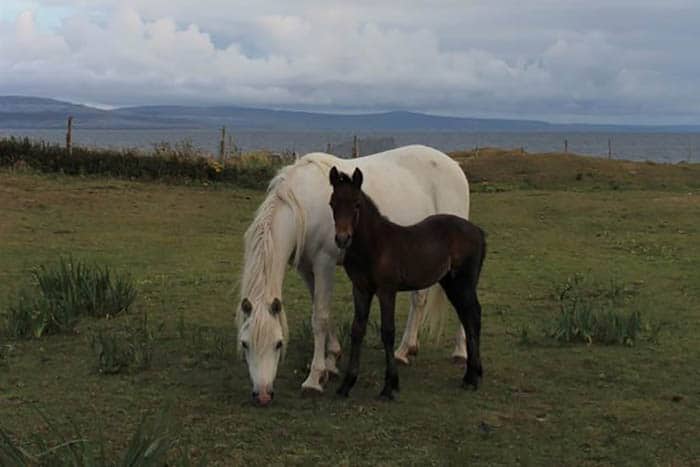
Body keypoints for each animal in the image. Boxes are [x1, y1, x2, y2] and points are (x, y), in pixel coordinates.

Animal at [235, 145, 470, 406]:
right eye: (245, 344)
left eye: (278, 344)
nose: (263, 395)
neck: (302, 205)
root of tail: (454, 165)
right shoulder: (307, 269)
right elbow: (323, 313)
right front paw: (332, 360)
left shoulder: (324, 263)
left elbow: (320, 318)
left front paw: (314, 379)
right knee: (419, 300)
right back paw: (404, 351)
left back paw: (461, 352)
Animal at [330, 166, 486, 400]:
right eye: (332, 203)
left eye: (356, 204)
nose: (342, 238)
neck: (374, 245)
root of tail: (477, 231)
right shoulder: (360, 289)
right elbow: (357, 330)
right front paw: (347, 384)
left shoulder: (387, 290)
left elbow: (387, 332)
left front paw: (389, 386)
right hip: (451, 284)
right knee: (468, 316)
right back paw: (471, 374)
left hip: (464, 283)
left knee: (472, 316)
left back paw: (472, 377)